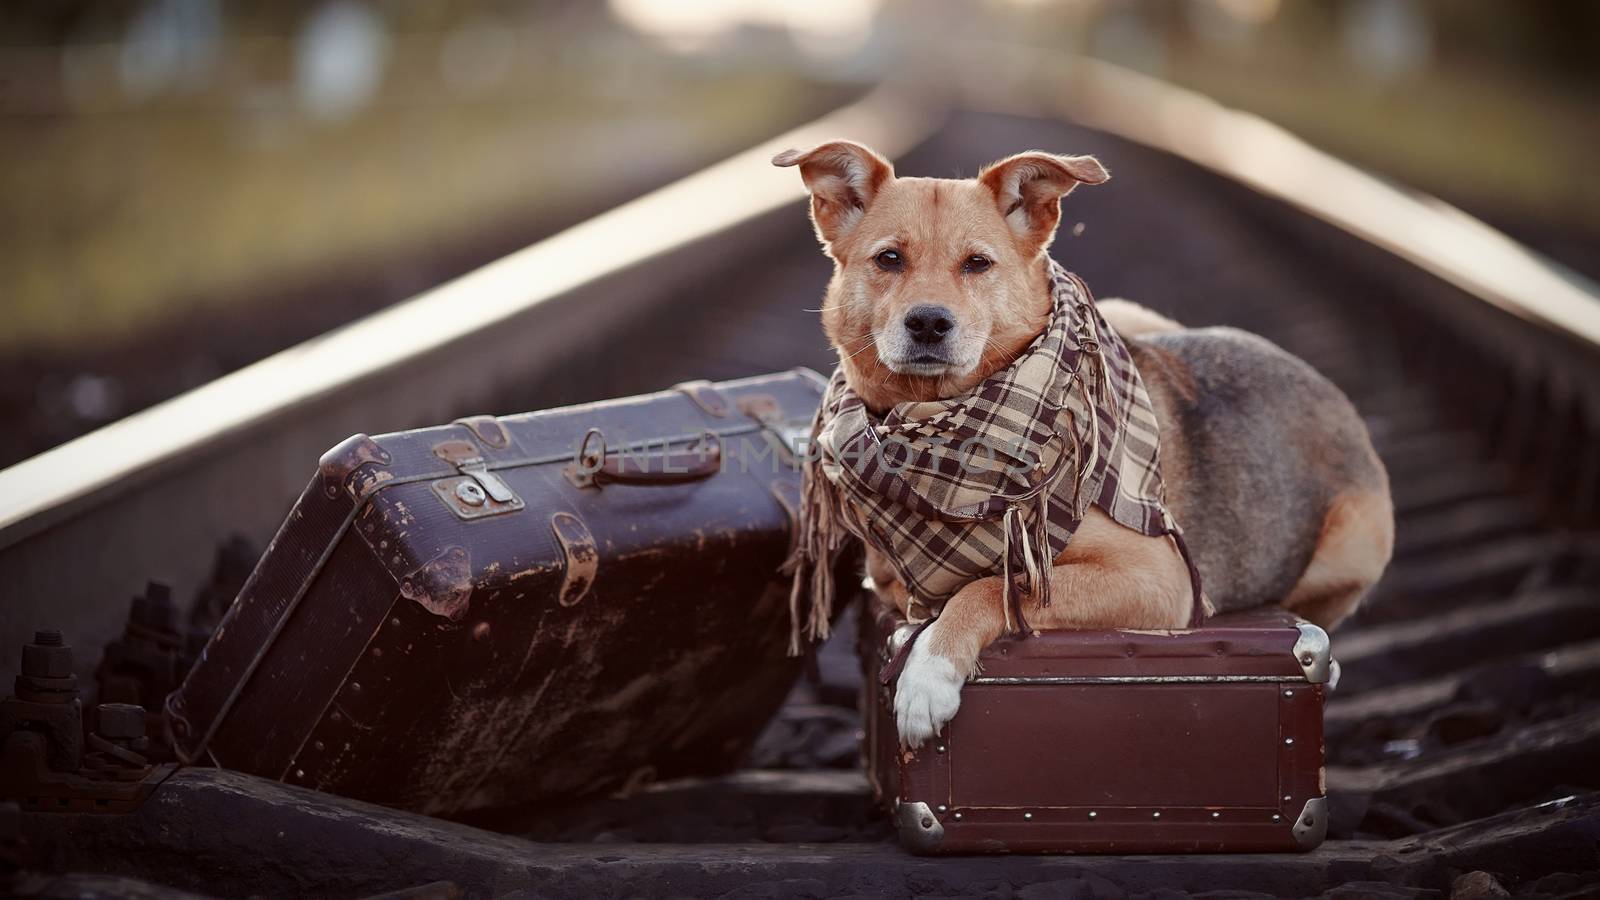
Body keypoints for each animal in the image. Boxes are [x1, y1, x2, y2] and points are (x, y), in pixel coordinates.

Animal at [771, 140, 1388, 743]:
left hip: (1359, 540)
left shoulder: (1158, 578)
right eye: (888, 259)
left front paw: (928, 675)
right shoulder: (889, 575)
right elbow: (948, 586)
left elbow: (994, 586)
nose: (927, 322)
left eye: (977, 263)